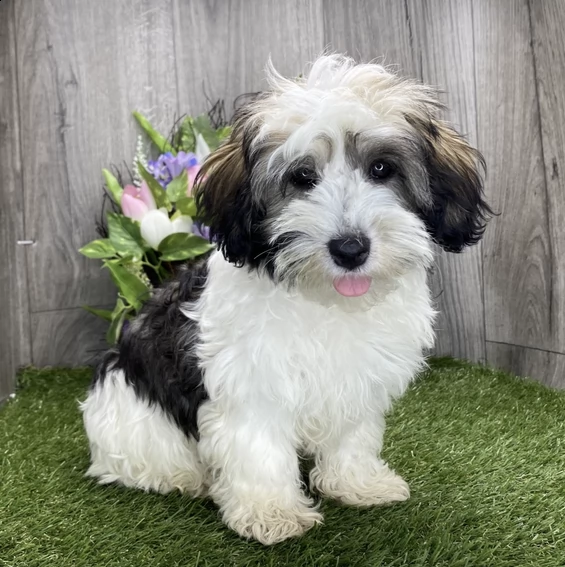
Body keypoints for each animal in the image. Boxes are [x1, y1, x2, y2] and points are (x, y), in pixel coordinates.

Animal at [80, 54, 490, 544]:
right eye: (301, 177)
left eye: (381, 169)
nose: (350, 248)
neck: (327, 299)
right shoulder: (251, 381)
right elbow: (259, 449)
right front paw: (271, 513)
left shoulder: (358, 378)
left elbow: (352, 434)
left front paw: (358, 483)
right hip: (131, 416)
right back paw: (188, 478)